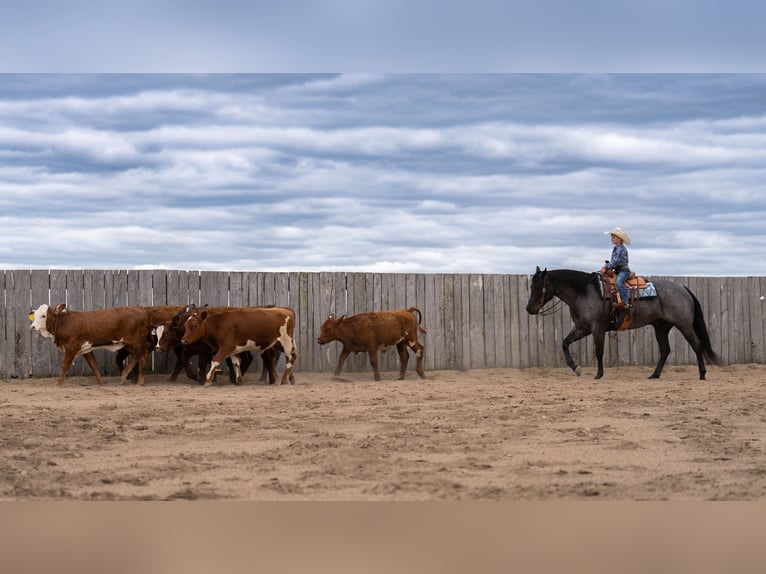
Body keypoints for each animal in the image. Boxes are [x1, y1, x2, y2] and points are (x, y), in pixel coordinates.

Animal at [525, 267, 721, 380]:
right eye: (531, 286)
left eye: (539, 287)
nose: (529, 308)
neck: (586, 292)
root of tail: (682, 288)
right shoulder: (582, 328)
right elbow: (565, 343)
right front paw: (576, 368)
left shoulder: (597, 328)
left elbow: (599, 351)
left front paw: (599, 374)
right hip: (661, 327)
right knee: (665, 350)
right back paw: (654, 375)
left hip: (684, 325)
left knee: (697, 345)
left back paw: (702, 374)